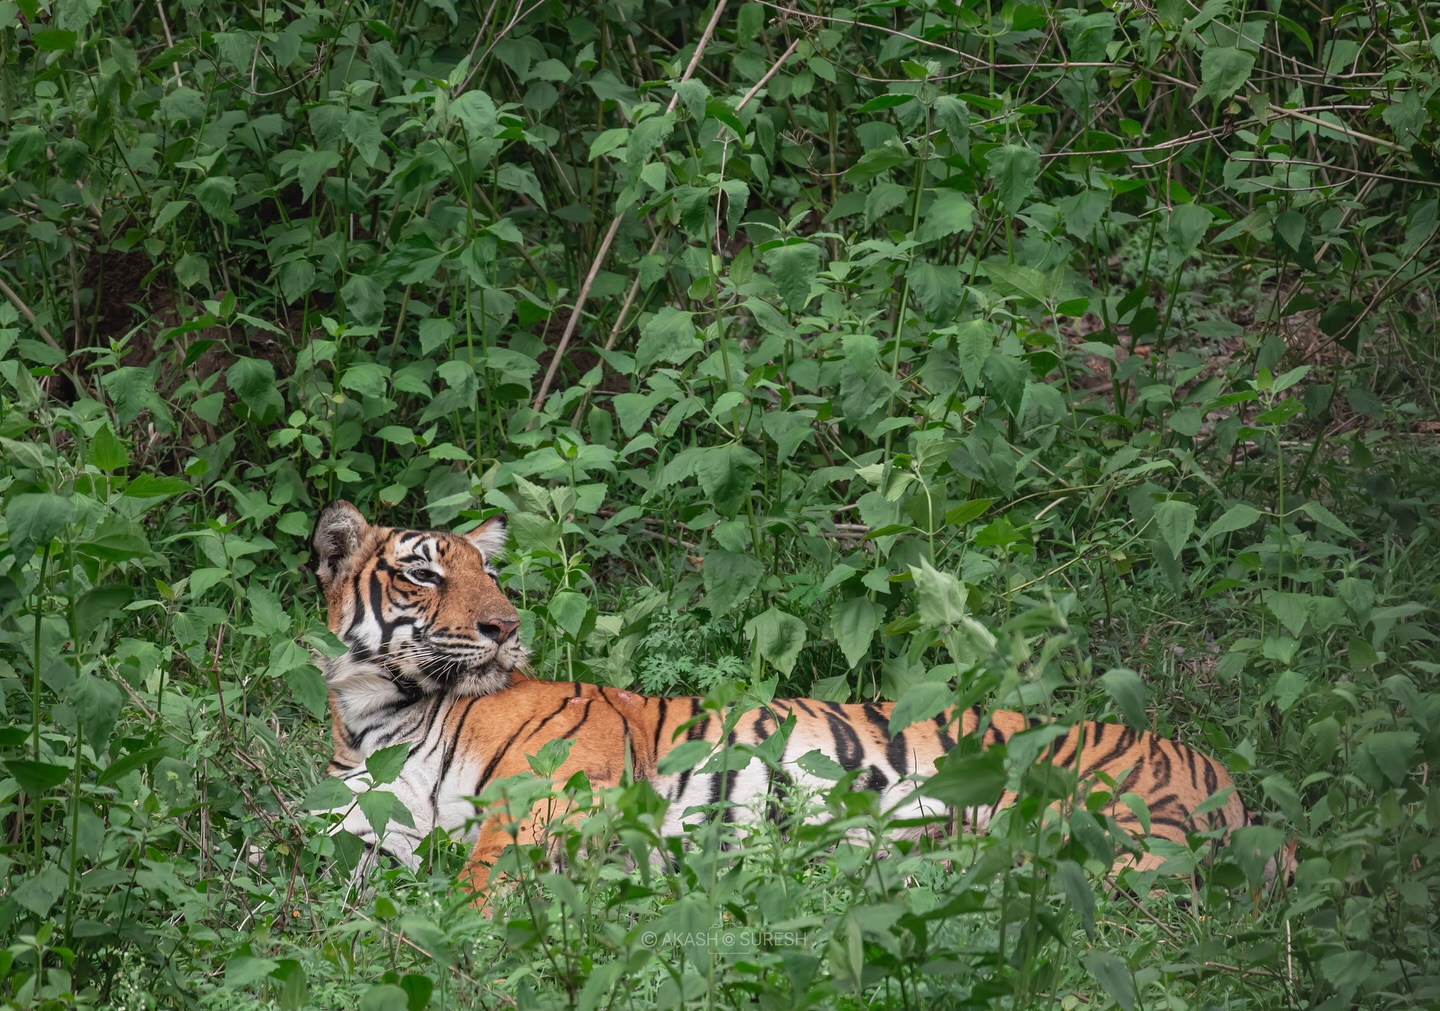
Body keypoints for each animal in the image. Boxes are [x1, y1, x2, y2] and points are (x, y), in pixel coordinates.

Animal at [310, 499, 1270, 899]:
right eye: (426, 573)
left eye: (491, 572)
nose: (507, 625)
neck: (382, 714)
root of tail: (1235, 791)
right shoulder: (371, 832)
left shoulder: (557, 792)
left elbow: (482, 880)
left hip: (1090, 823)